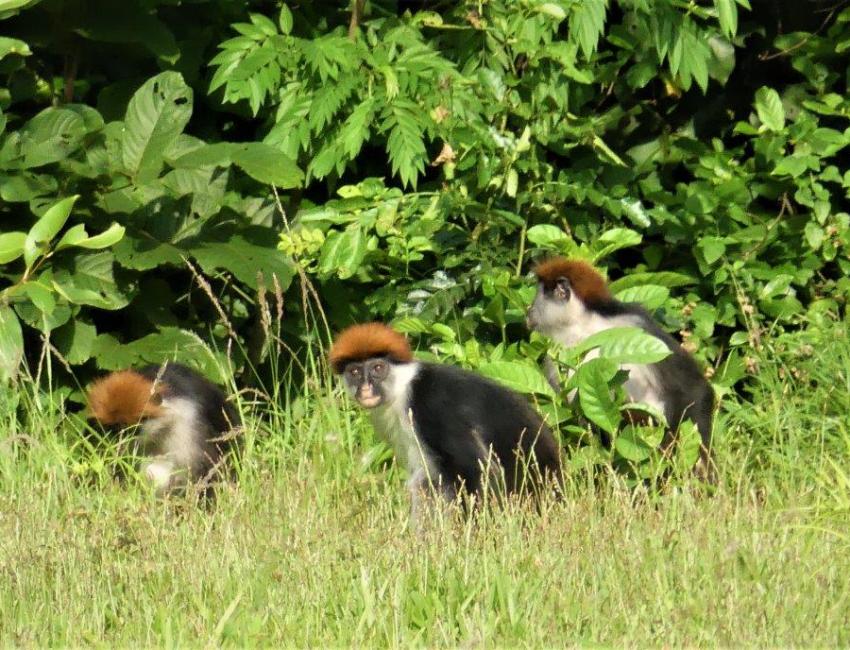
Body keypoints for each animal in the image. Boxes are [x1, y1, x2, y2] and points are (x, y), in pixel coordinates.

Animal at [329, 322, 562, 519]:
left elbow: (475, 471)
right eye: (355, 372)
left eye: (378, 368)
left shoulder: (430, 406)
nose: (366, 388)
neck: (403, 389)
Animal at [526, 257, 715, 476]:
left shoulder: (635, 321)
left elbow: (693, 388)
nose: (529, 310)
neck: (584, 329)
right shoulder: (556, 355)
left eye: (539, 293)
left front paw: (701, 469)